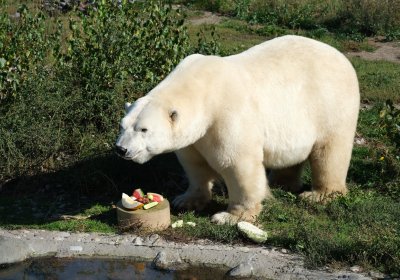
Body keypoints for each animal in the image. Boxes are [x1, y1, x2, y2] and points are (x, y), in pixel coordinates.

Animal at [115, 35, 360, 225]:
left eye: (144, 129)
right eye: (122, 126)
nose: (121, 149)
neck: (203, 89)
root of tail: (340, 56)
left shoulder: (226, 115)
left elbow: (236, 163)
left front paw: (230, 216)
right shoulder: (196, 137)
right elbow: (195, 164)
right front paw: (185, 200)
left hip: (330, 103)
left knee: (330, 150)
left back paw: (319, 195)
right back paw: (280, 182)